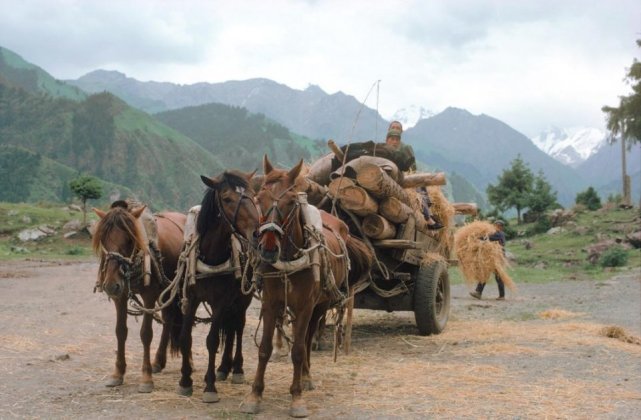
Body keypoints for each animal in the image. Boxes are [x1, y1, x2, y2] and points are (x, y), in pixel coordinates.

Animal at [91, 200, 185, 394]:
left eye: (129, 239)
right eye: (104, 238)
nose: (110, 284)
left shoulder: (150, 296)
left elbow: (146, 334)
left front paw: (146, 378)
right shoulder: (120, 295)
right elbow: (120, 331)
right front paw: (118, 373)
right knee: (168, 319)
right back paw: (158, 361)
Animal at [176, 171, 258, 404]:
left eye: (252, 195)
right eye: (227, 198)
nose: (257, 232)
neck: (211, 255)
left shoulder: (222, 300)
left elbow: (212, 340)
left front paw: (210, 387)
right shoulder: (192, 299)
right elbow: (185, 337)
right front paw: (185, 381)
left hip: (242, 299)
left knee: (237, 327)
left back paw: (235, 369)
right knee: (229, 328)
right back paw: (223, 368)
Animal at [239, 157, 370, 416]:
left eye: (291, 202)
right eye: (259, 198)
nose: (268, 248)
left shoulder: (305, 307)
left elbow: (299, 350)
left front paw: (296, 396)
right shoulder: (271, 304)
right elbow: (264, 349)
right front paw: (255, 395)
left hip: (319, 306)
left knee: (308, 339)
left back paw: (307, 376)